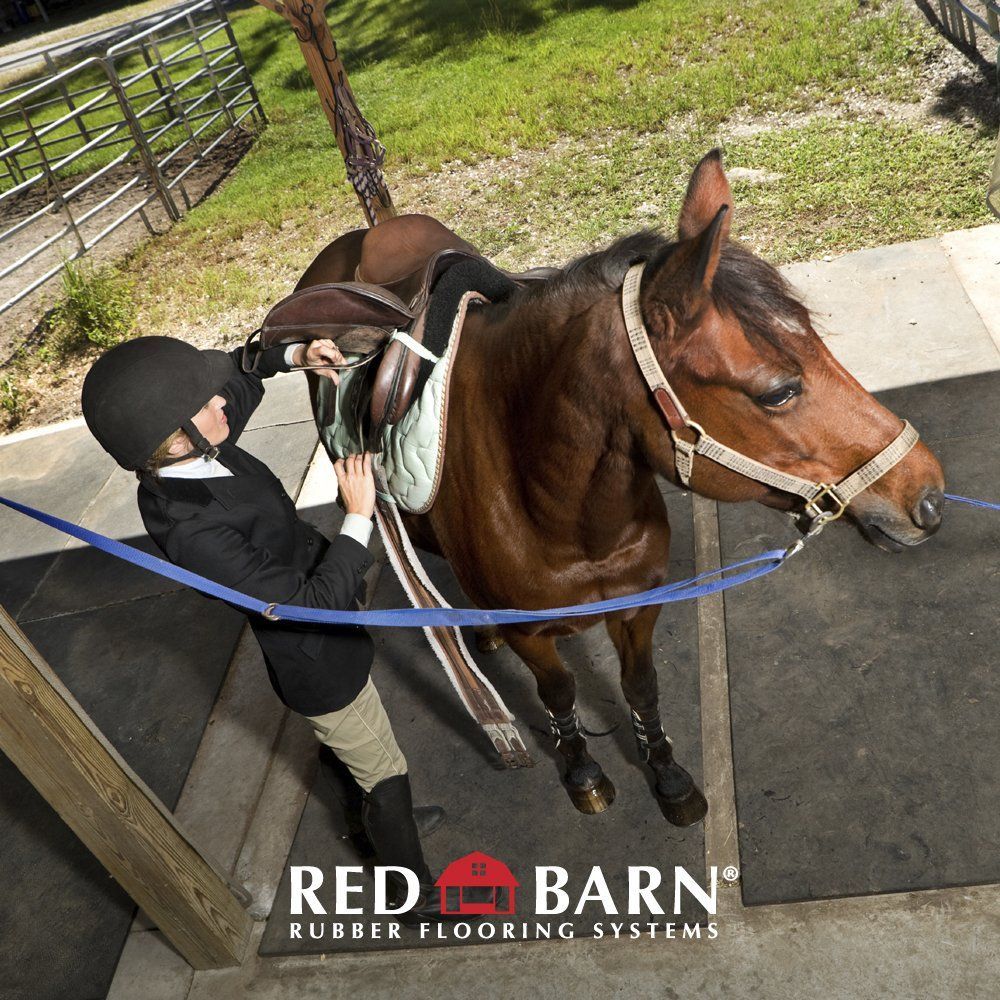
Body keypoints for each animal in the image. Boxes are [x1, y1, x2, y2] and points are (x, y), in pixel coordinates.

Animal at [292, 152, 940, 828]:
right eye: (779, 392)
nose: (927, 495)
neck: (561, 511)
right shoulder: (534, 636)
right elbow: (559, 694)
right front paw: (582, 770)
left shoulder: (638, 606)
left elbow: (641, 688)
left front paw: (668, 774)